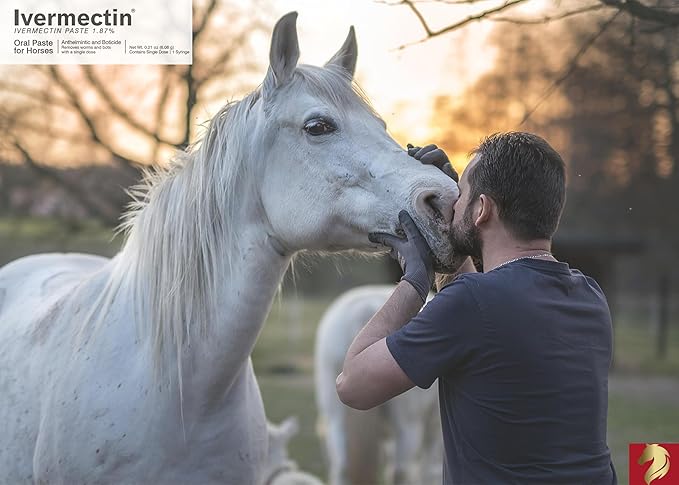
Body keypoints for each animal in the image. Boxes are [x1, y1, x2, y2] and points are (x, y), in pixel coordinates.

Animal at [315, 286, 443, 485]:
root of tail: (364, 309)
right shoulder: (434, 429)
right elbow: (429, 472)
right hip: (408, 426)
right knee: (401, 471)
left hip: (335, 420)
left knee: (342, 467)